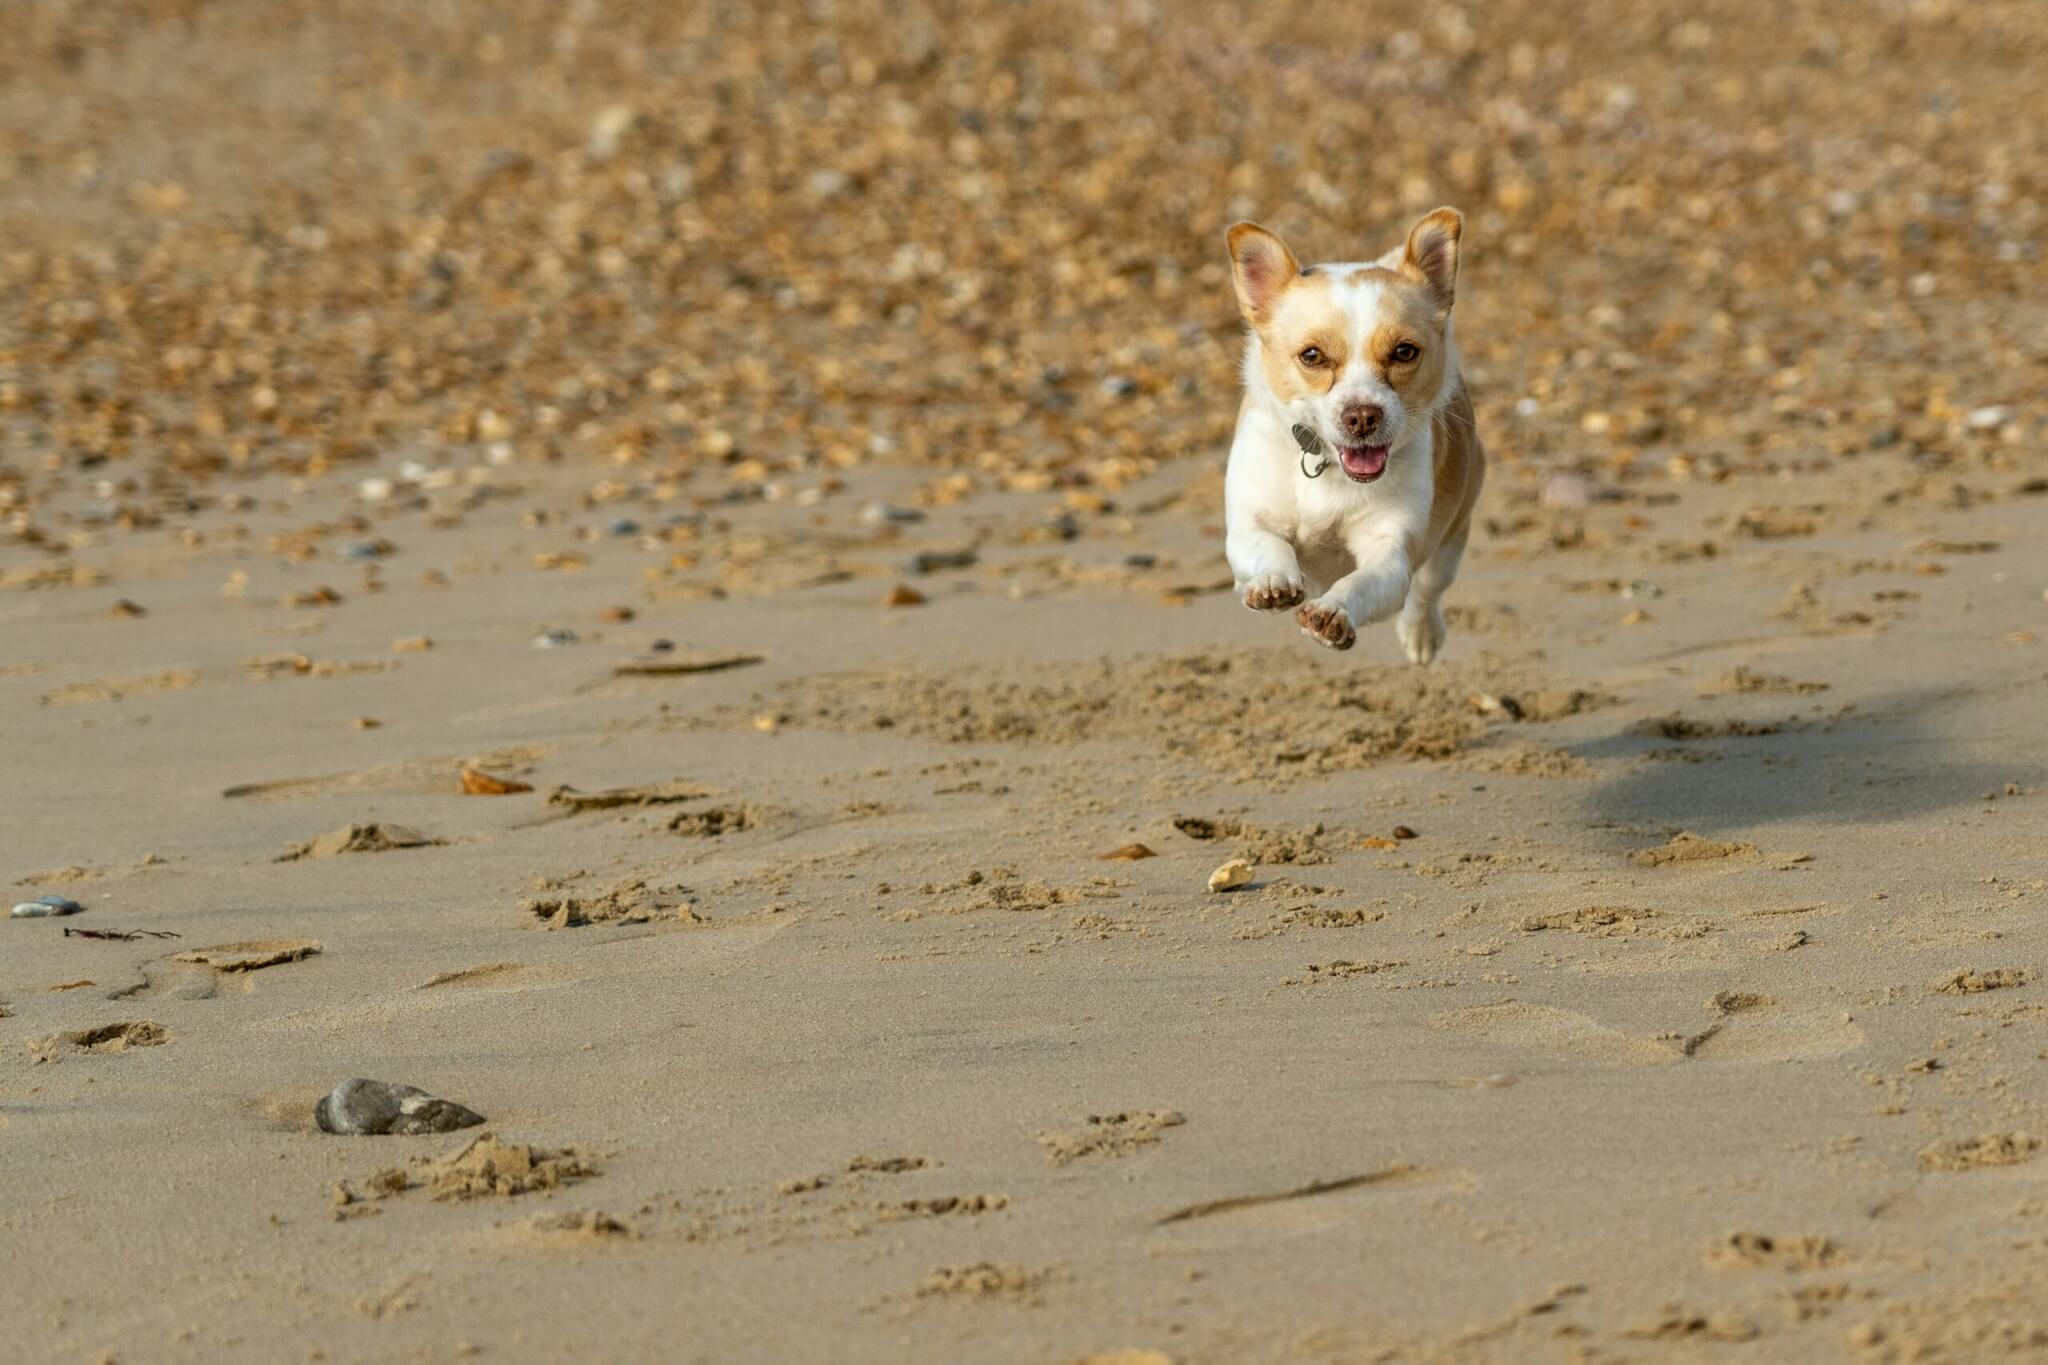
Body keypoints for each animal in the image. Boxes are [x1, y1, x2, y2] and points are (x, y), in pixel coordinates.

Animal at [1220, 204, 1482, 667]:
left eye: (1404, 352)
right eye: (1312, 356)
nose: (1362, 416)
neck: (1327, 468)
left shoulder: (1391, 554)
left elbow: (1360, 583)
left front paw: (1333, 611)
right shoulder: (1249, 526)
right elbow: (1270, 548)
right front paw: (1271, 582)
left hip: (1450, 540)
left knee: (1427, 591)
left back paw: (1421, 634)